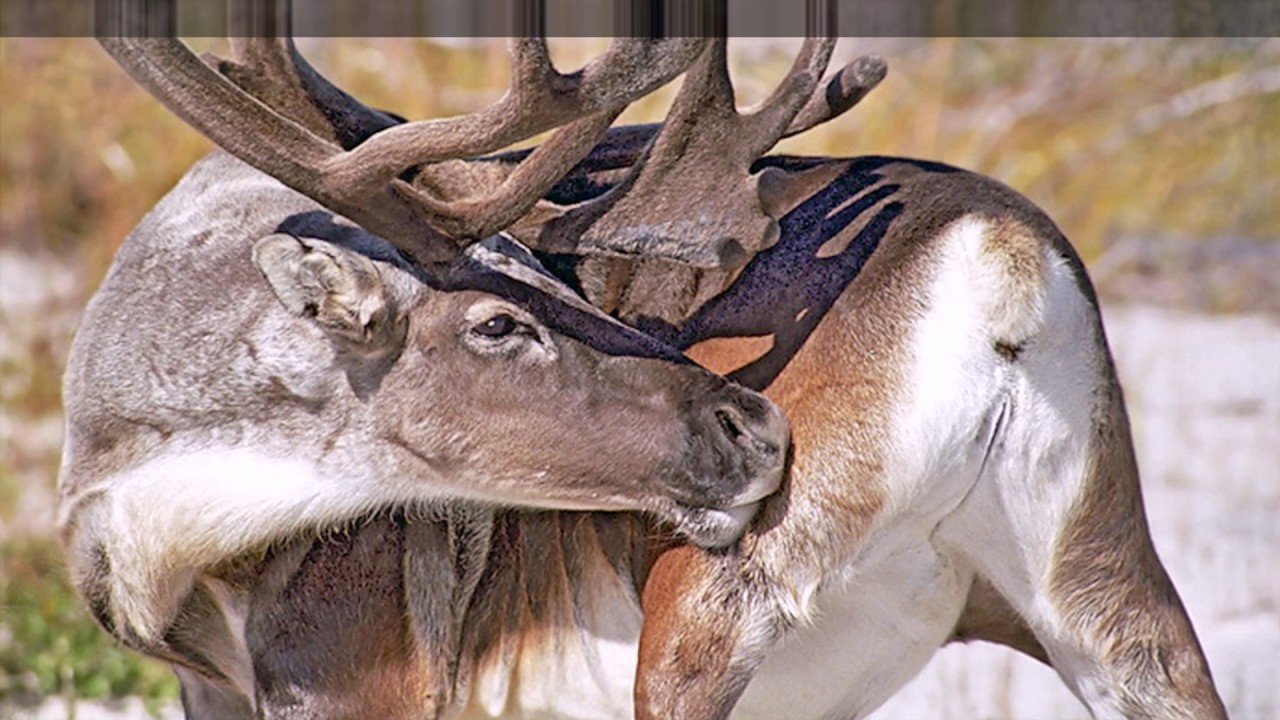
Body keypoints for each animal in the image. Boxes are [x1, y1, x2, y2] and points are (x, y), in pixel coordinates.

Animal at [62, 2, 1227, 719]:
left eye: (558, 281)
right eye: (503, 320)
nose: (754, 425)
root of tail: (999, 261)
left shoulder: (354, 670)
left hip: (707, 597)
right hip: (1110, 586)